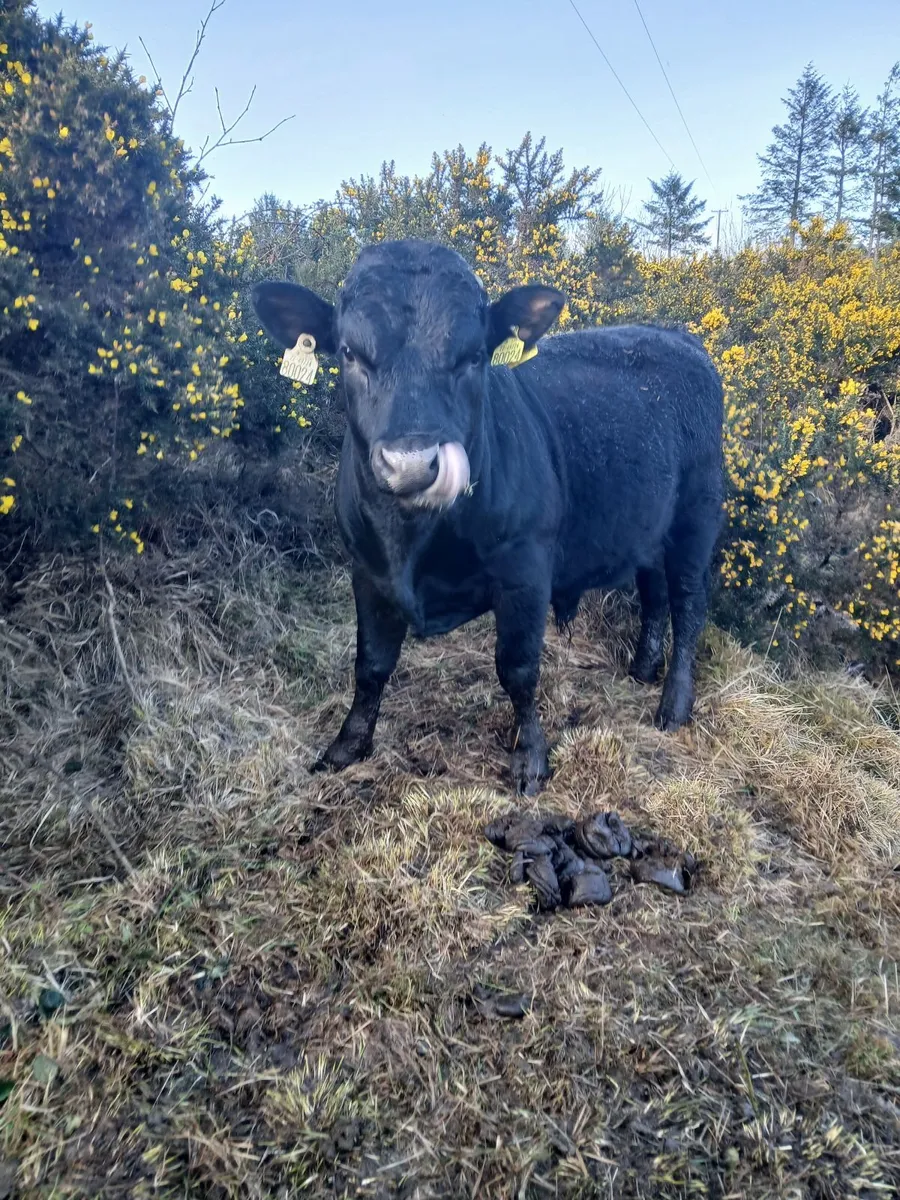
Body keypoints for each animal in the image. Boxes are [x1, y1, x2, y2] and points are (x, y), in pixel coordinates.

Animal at [252, 239, 724, 796]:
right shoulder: (366, 571)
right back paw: (642, 667)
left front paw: (531, 758)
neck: (414, 545)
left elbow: (517, 668)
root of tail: (677, 336)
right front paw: (346, 746)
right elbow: (370, 665)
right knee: (653, 594)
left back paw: (673, 704)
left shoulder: (525, 573)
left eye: (474, 355)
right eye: (349, 352)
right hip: (649, 524)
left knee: (688, 605)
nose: (412, 464)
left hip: (697, 516)